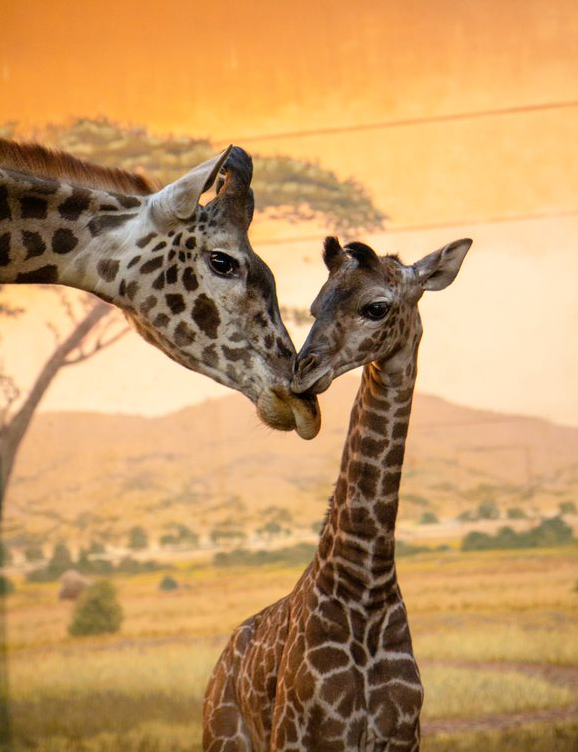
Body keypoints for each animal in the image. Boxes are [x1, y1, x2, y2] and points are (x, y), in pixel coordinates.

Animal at [203, 235, 472, 751]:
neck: (367, 586)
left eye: (376, 307)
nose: (301, 372)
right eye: (315, 306)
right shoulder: (302, 736)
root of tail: (222, 661)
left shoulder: (402, 736)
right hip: (223, 738)